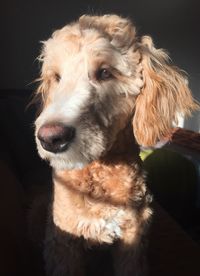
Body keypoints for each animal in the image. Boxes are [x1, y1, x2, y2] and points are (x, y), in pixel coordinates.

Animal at [34, 14, 197, 276]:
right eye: (56, 77)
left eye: (105, 73)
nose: (50, 138)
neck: (101, 171)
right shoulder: (64, 243)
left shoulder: (132, 240)